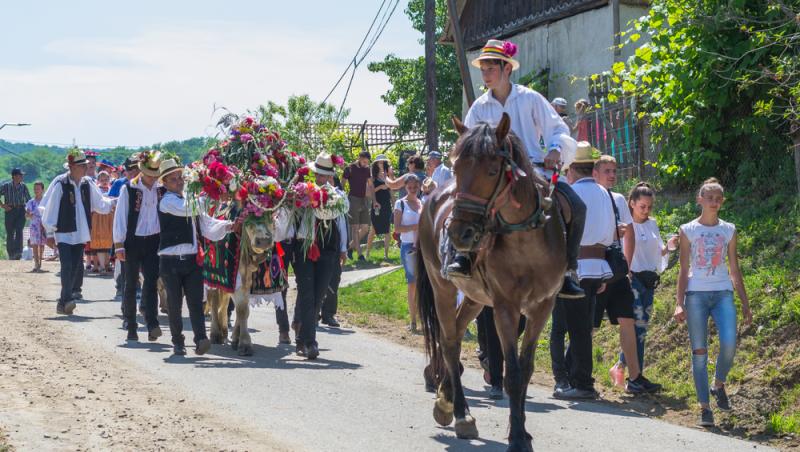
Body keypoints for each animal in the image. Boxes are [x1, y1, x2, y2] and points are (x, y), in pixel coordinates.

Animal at [418, 114, 568, 452]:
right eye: (457, 168)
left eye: (490, 170)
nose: (459, 232)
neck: (525, 241)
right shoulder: (505, 308)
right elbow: (511, 372)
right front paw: (517, 438)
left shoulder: (542, 307)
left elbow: (524, 371)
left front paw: (522, 431)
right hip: (442, 287)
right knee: (449, 341)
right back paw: (460, 413)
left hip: (475, 298)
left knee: (456, 332)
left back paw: (446, 399)